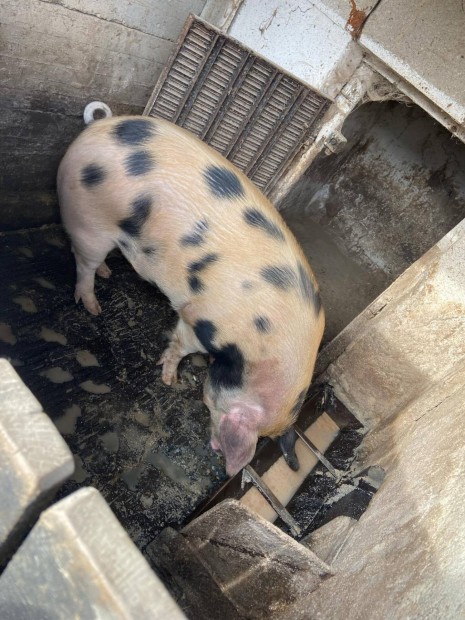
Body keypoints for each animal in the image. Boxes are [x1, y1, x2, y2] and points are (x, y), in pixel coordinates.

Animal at [56, 109, 324, 474]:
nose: (218, 451)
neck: (259, 351)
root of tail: (97, 126)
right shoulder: (199, 319)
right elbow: (180, 345)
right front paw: (169, 379)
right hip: (88, 221)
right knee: (81, 262)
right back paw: (93, 306)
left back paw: (107, 273)